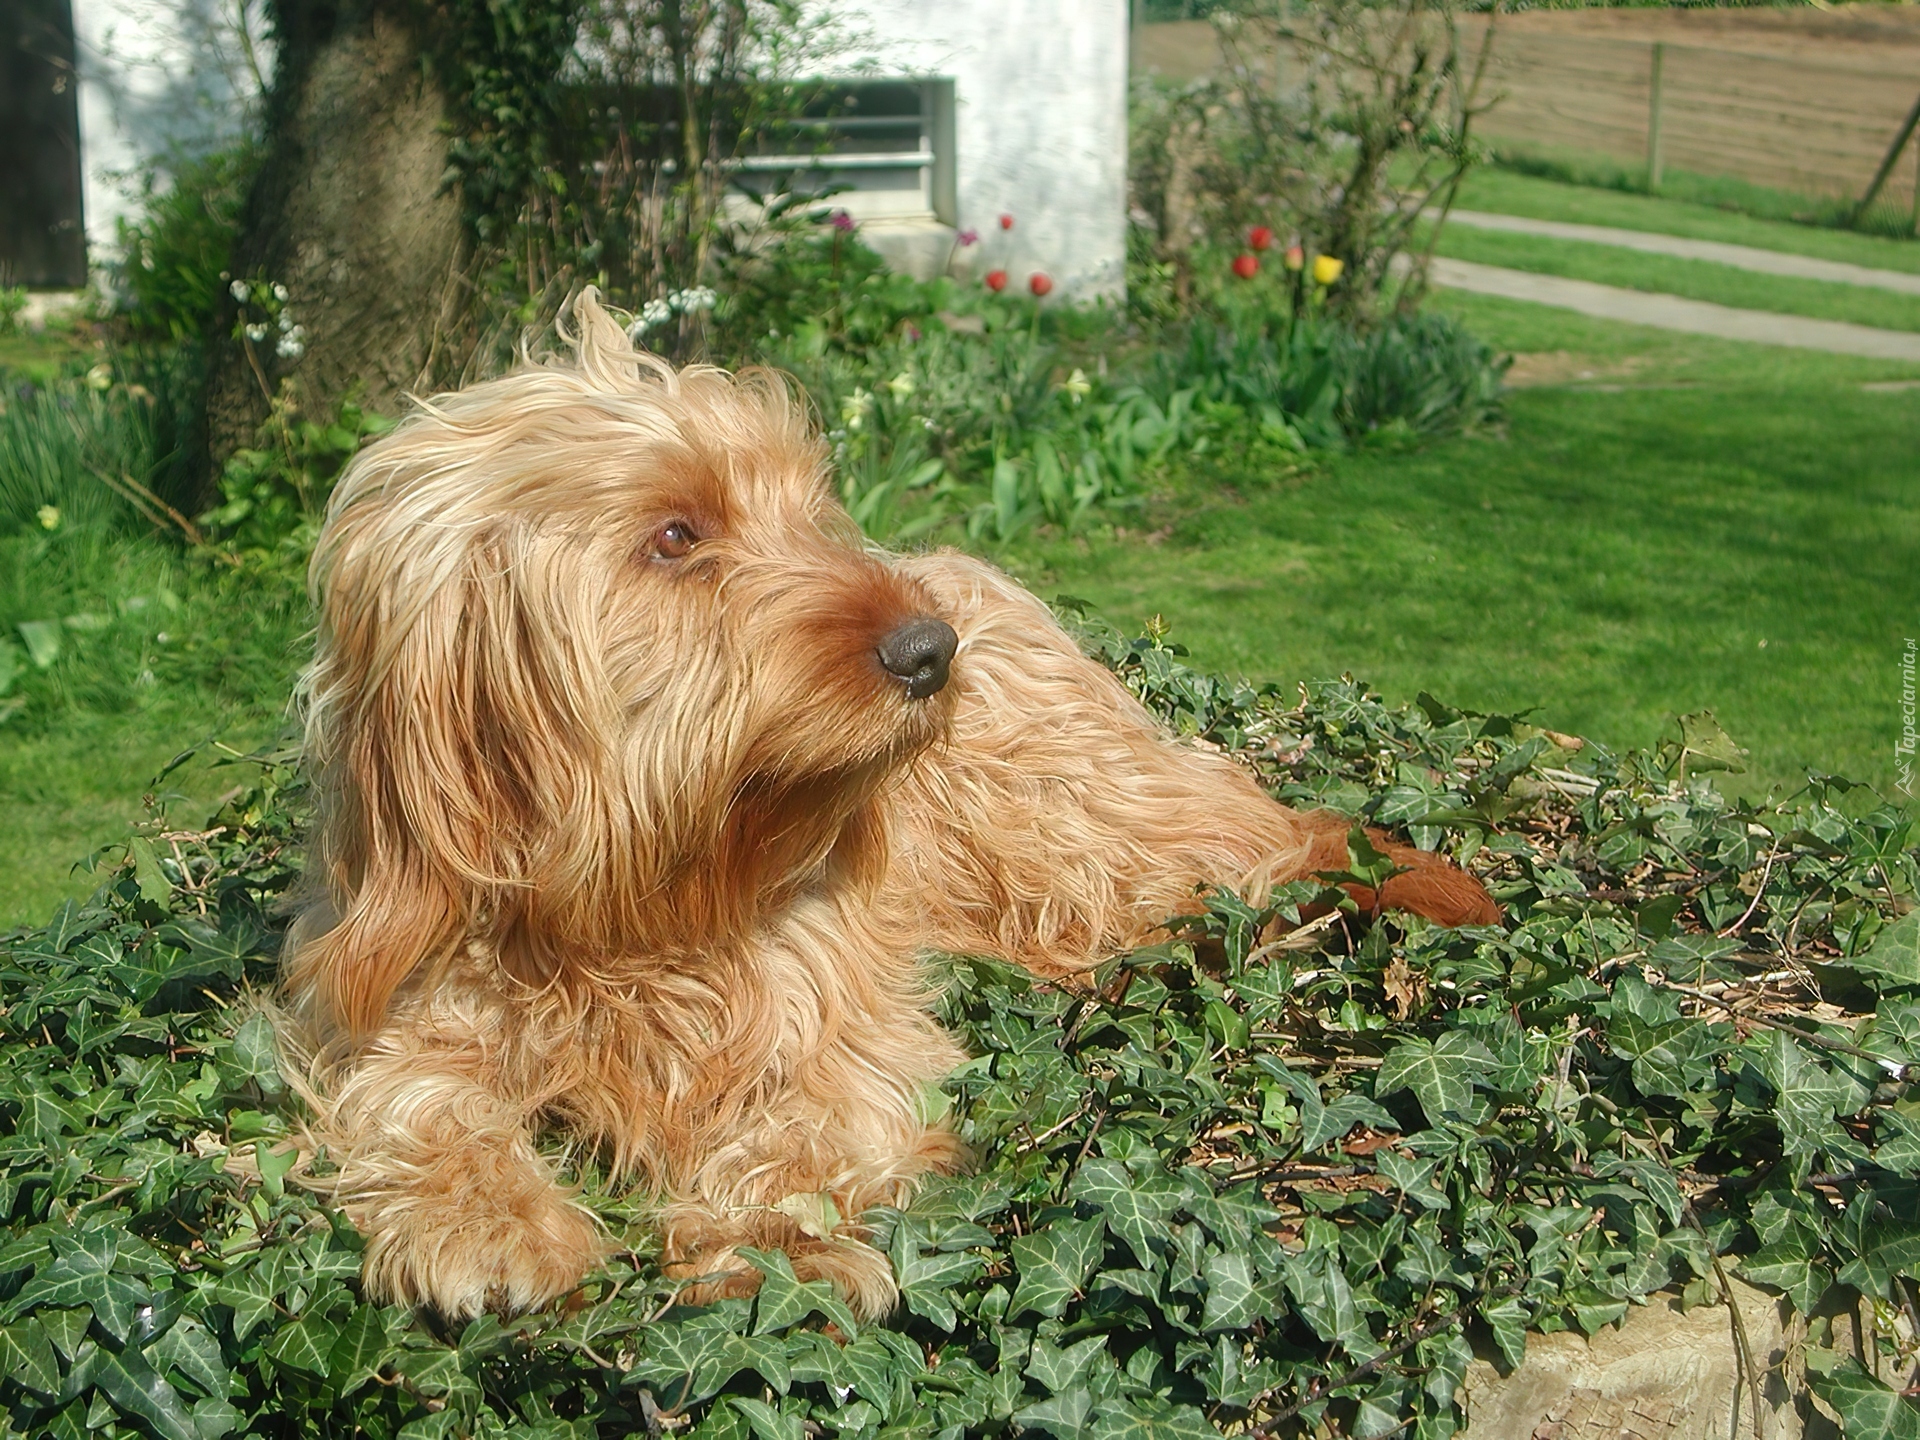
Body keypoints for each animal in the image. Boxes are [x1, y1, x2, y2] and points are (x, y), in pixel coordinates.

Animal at [278, 288, 1497, 1328]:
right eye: (675, 535)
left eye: (809, 507)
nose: (929, 653)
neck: (639, 902)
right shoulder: (401, 996)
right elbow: (422, 1099)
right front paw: (488, 1220)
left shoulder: (836, 1016)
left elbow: (815, 1122)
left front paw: (782, 1247)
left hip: (1070, 837)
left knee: (1251, 862)